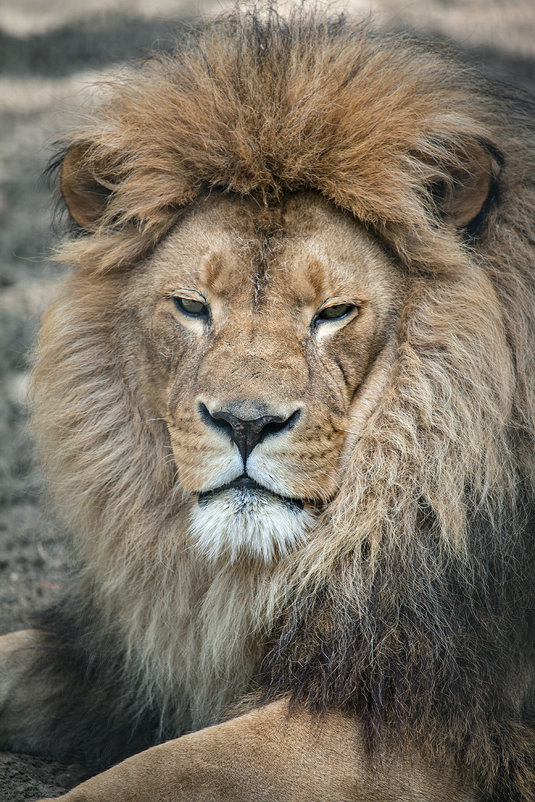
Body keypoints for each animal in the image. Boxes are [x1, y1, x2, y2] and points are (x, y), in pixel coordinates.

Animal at [1, 7, 535, 800]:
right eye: (192, 306)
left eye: (334, 312)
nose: (245, 423)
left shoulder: (412, 716)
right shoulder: (127, 664)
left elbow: (152, 773)